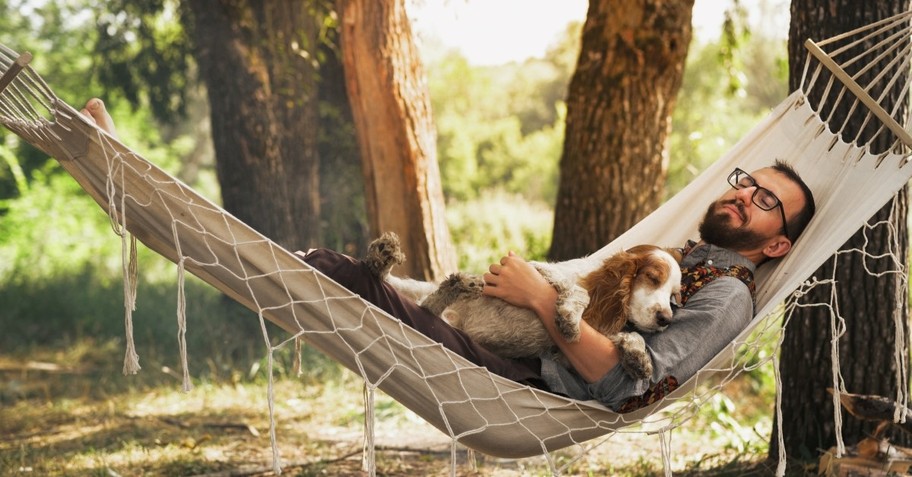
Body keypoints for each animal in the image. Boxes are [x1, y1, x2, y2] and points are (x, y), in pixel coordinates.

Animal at [366, 231, 680, 380]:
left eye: (674, 296)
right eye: (653, 278)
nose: (666, 319)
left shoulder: (565, 357)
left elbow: (632, 335)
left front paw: (637, 358)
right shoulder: (539, 269)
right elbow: (578, 292)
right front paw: (569, 318)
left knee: (427, 306)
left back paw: (457, 284)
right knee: (414, 296)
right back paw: (385, 257)